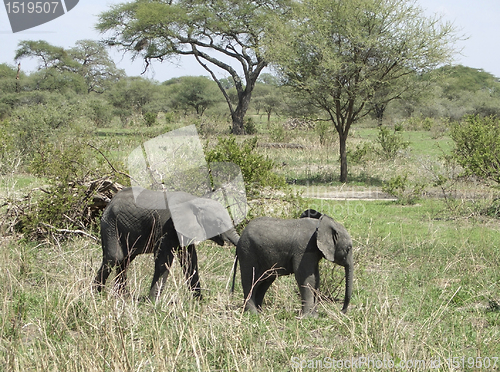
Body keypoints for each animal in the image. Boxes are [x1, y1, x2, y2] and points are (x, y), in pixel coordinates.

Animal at [95, 187, 242, 300]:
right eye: (217, 223)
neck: (195, 201)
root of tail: (110, 200)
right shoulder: (166, 227)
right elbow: (164, 260)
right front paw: (153, 303)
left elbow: (189, 260)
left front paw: (199, 301)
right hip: (110, 225)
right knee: (115, 258)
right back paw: (97, 295)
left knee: (125, 260)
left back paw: (121, 297)